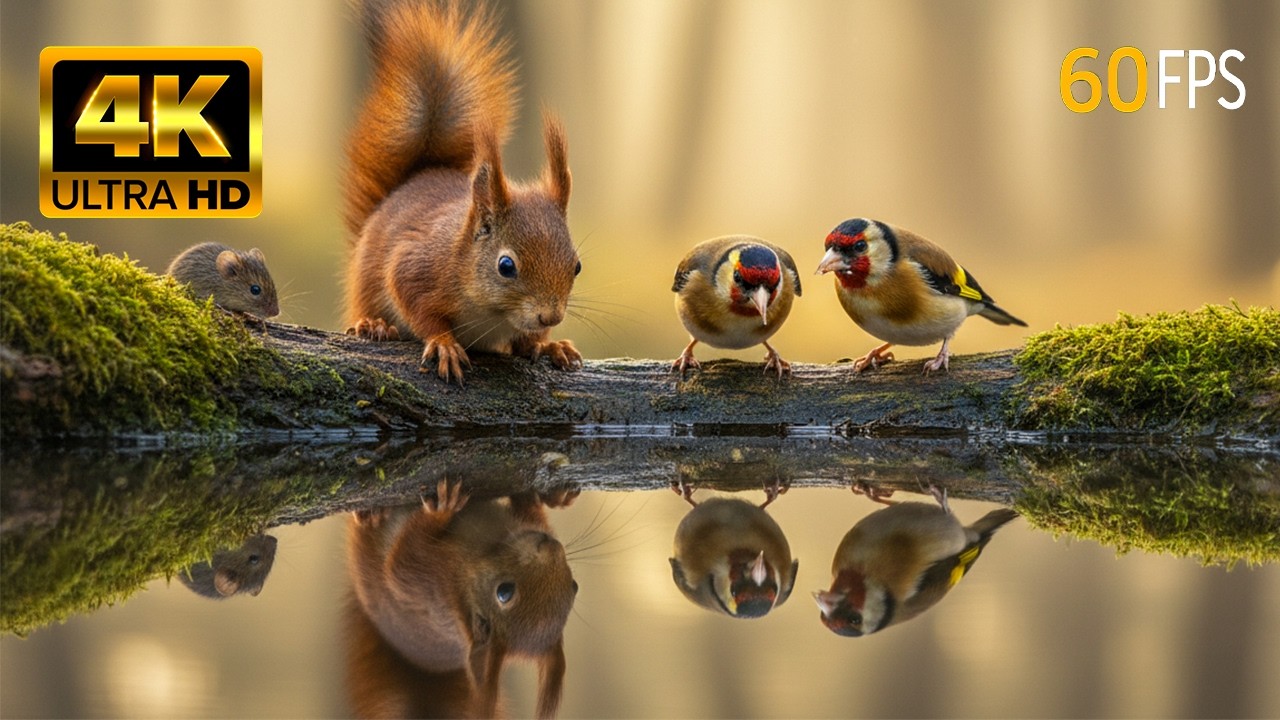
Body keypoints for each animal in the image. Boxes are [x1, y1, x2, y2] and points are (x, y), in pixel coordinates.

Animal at [343, 0, 582, 385]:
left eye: (576, 266)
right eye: (505, 266)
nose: (551, 317)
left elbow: (526, 342)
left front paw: (548, 345)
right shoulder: (417, 266)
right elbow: (418, 308)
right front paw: (444, 344)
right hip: (365, 283)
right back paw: (373, 325)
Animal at [345, 480, 578, 719]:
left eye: (504, 592)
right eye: (575, 586)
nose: (551, 545)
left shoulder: (423, 582)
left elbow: (401, 560)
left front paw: (440, 511)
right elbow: (531, 514)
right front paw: (550, 497)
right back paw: (370, 514)